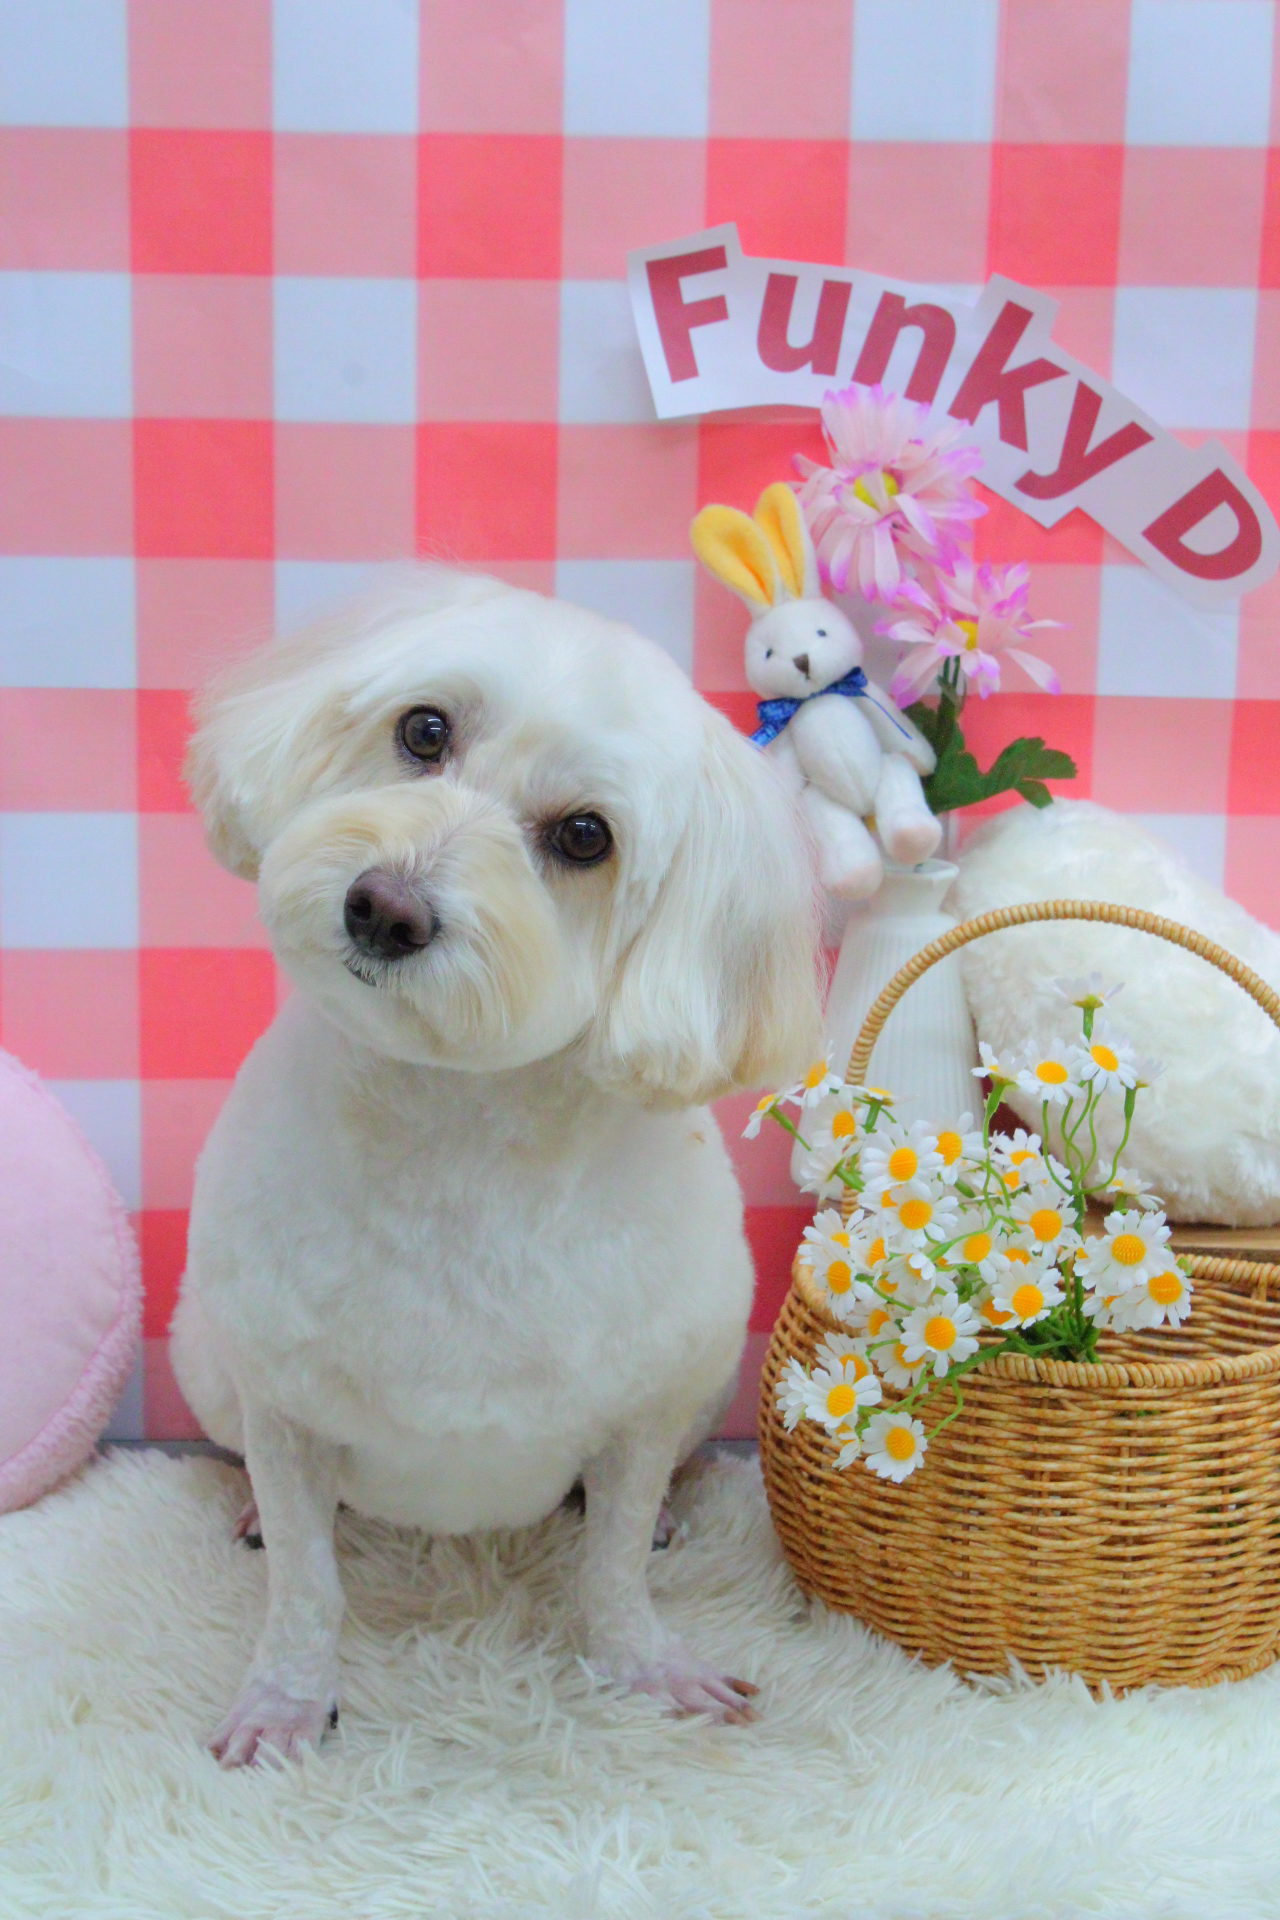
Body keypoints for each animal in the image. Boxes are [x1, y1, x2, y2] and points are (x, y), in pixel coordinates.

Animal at [170, 567, 822, 1766]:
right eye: (423, 730)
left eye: (584, 836)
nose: (384, 907)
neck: (453, 1133)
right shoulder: (282, 1406)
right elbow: (306, 1587)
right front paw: (285, 1704)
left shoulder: (647, 1406)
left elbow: (612, 1565)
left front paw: (644, 1667)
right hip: (201, 1356)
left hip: (711, 1382)